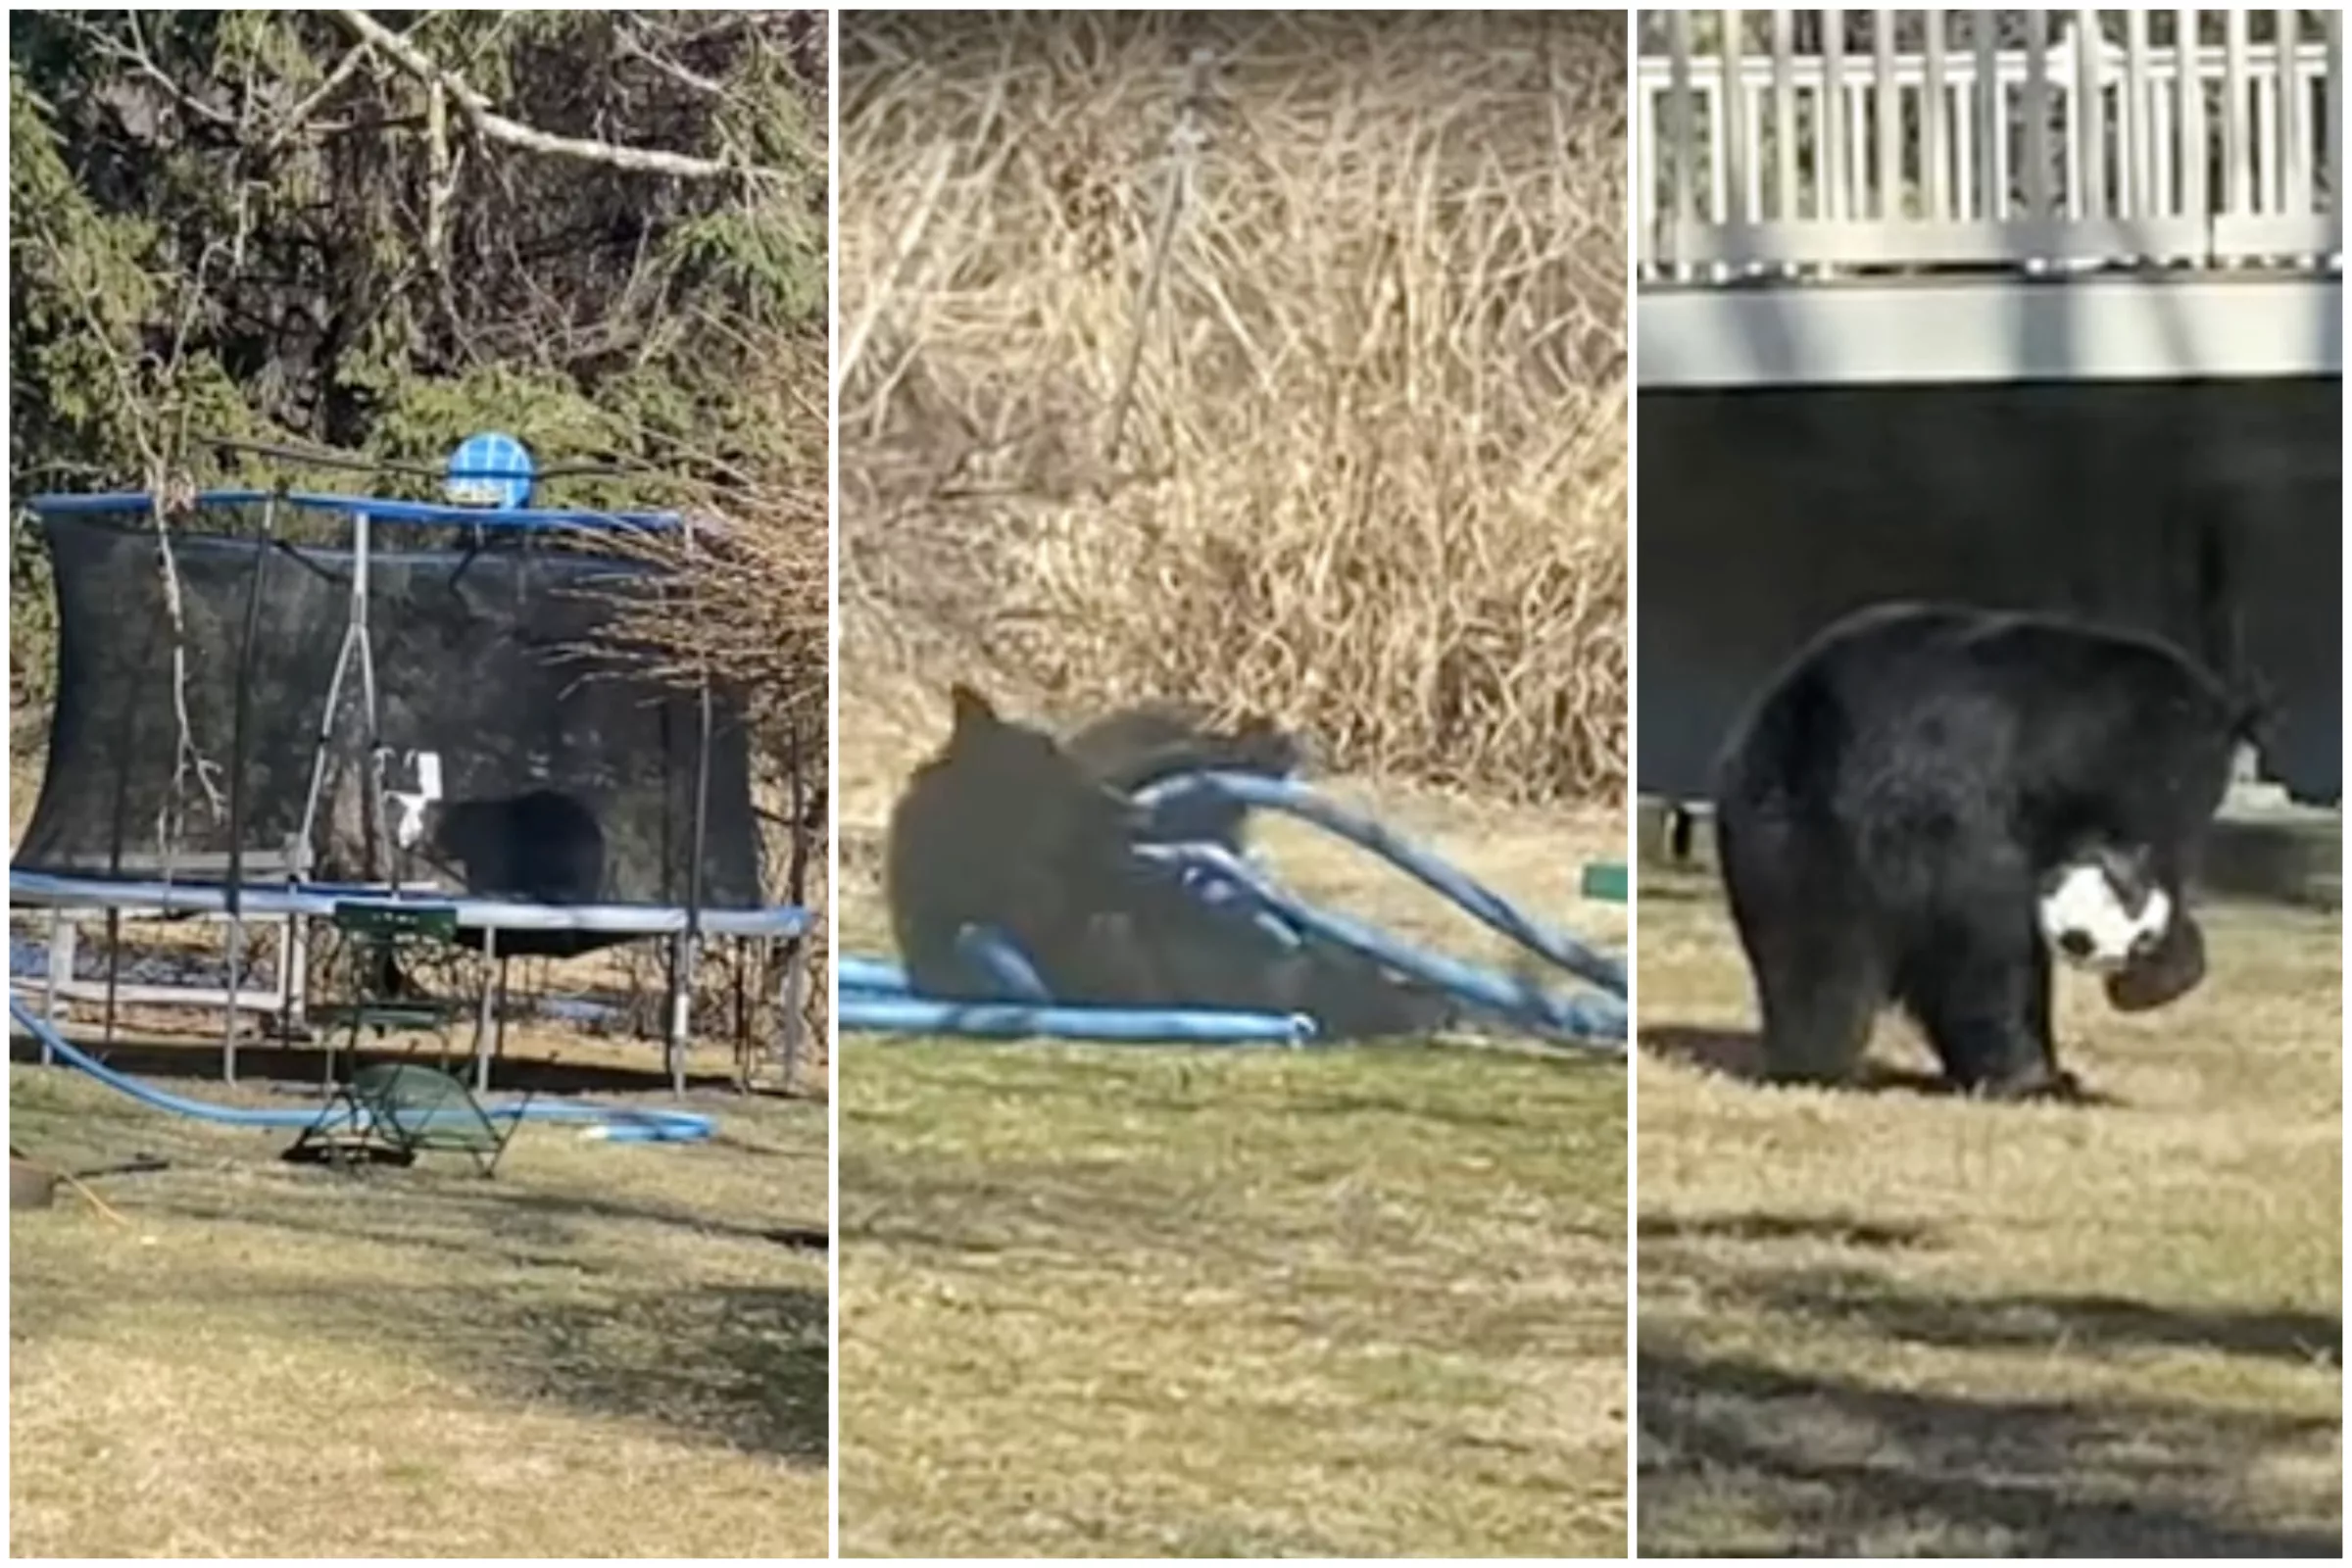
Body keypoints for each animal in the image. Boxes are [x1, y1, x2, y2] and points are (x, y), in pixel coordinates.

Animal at [1713, 601, 2250, 1098]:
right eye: (2190, 785)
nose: (2124, 883)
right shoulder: (1973, 802)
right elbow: (1987, 944)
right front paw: (2033, 1074)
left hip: (1777, 824)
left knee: (1800, 952)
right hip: (1804, 829)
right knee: (1831, 959)